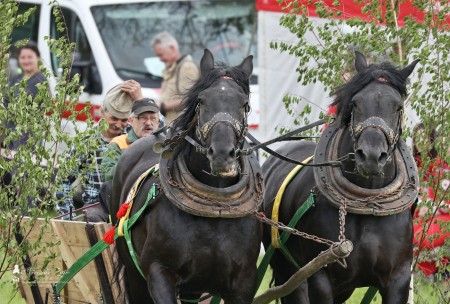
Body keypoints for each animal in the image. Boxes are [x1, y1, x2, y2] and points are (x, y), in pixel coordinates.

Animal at [110, 48, 262, 302]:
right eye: (201, 100)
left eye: (245, 105)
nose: (222, 154)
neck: (214, 211)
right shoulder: (158, 272)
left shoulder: (244, 283)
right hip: (134, 274)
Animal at [262, 52, 420, 304]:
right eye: (355, 103)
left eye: (398, 107)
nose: (371, 156)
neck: (367, 206)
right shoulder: (321, 277)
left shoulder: (399, 279)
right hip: (288, 270)